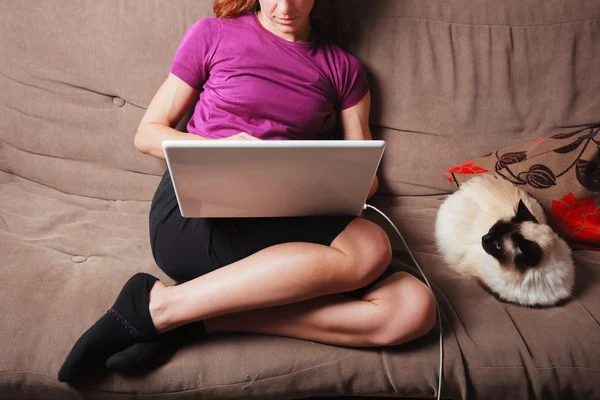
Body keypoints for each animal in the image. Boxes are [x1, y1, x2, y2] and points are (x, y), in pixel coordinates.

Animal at [434, 173, 576, 308]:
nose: (483, 238)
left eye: (497, 245)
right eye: (492, 229)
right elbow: (489, 288)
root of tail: (466, 185)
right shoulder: (469, 269)